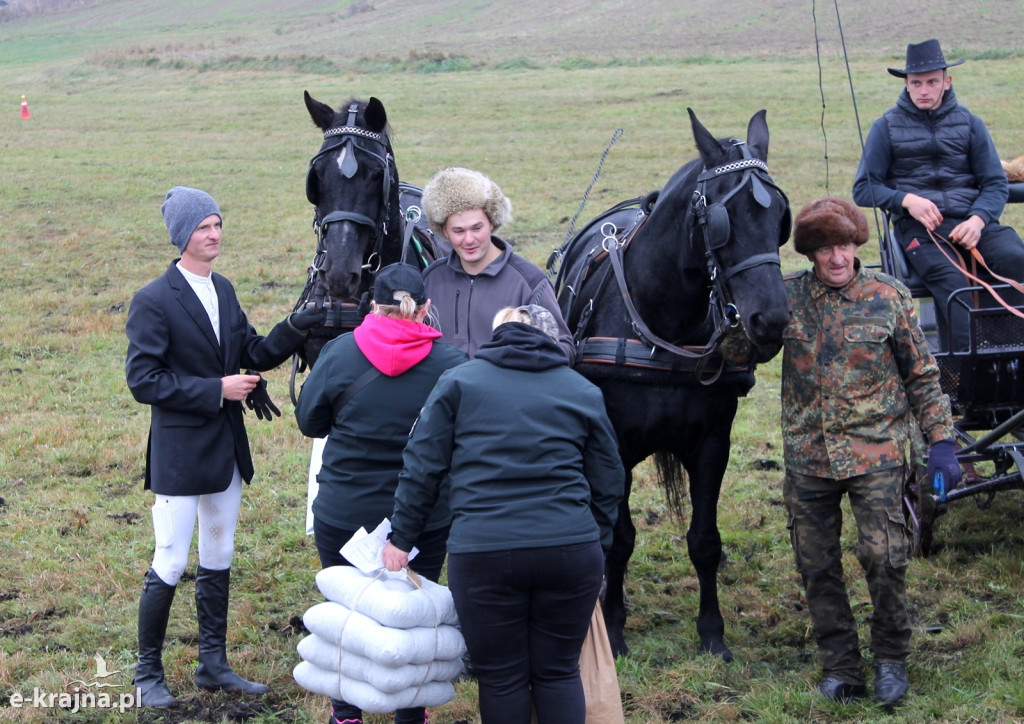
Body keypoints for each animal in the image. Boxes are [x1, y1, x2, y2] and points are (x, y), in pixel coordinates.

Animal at [552, 109, 790, 663]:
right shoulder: (614, 446)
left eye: (780, 219)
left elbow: (704, 539)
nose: (770, 320)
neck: (664, 322)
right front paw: (614, 628)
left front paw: (713, 634)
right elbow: (619, 538)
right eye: (724, 221)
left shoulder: (712, 443)